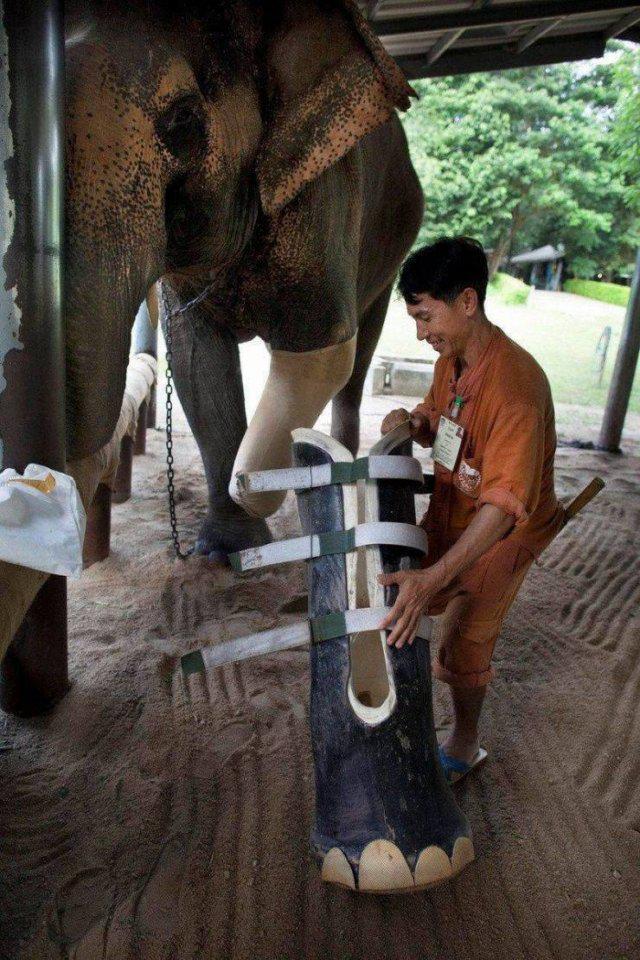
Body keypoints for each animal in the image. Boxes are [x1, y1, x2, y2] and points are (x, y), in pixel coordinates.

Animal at [65, 0, 424, 564]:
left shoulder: (325, 189)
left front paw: (258, 485)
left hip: (393, 241)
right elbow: (197, 361)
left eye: (183, 120)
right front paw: (224, 551)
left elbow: (320, 350)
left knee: (358, 356)